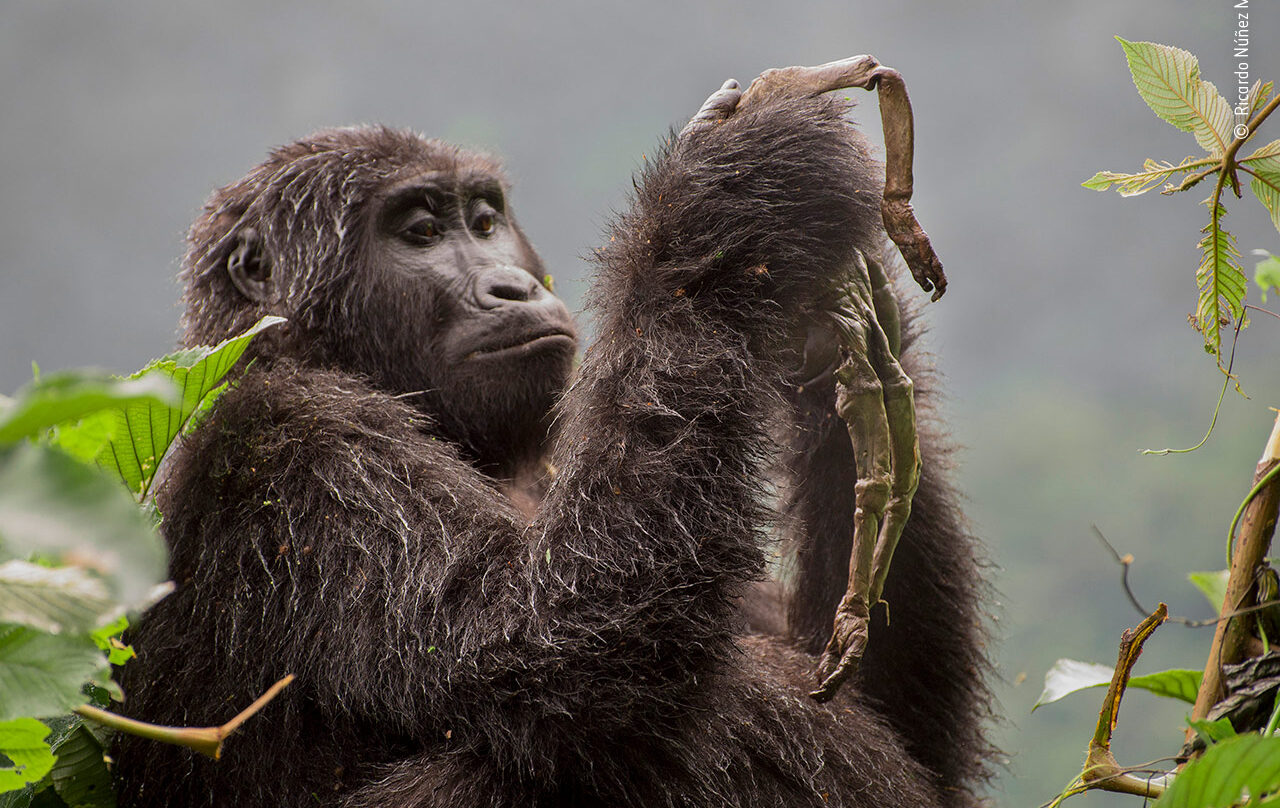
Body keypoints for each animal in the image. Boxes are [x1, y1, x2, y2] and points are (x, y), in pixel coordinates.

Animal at [112, 61, 988, 808]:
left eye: (484, 222)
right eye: (419, 233)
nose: (512, 286)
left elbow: (886, 709)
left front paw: (828, 319)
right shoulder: (294, 444)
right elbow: (543, 658)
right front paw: (735, 195)